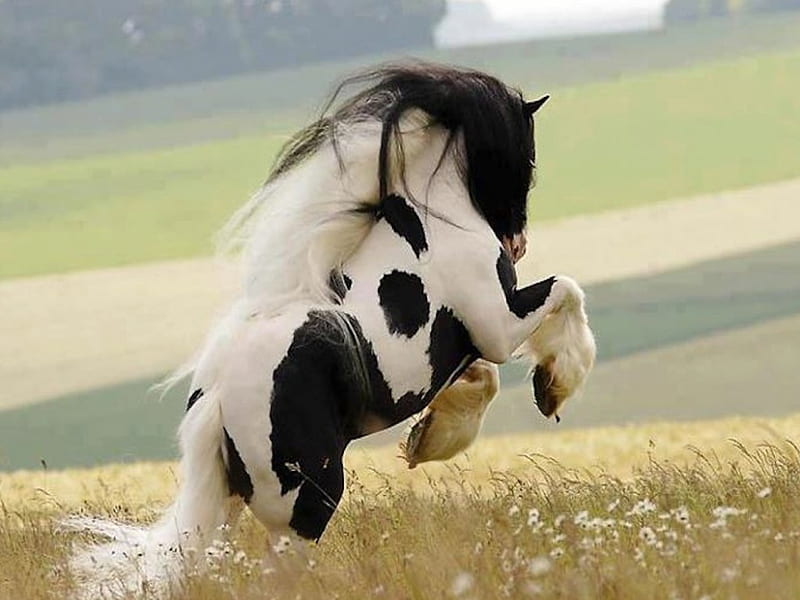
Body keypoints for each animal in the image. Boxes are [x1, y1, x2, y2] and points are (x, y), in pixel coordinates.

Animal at [67, 62, 592, 596]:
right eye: (527, 155)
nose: (517, 242)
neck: (434, 220)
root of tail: (215, 399)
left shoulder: (465, 349)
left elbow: (482, 379)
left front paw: (427, 442)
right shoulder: (498, 327)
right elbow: (565, 291)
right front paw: (553, 387)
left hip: (232, 501)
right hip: (304, 503)